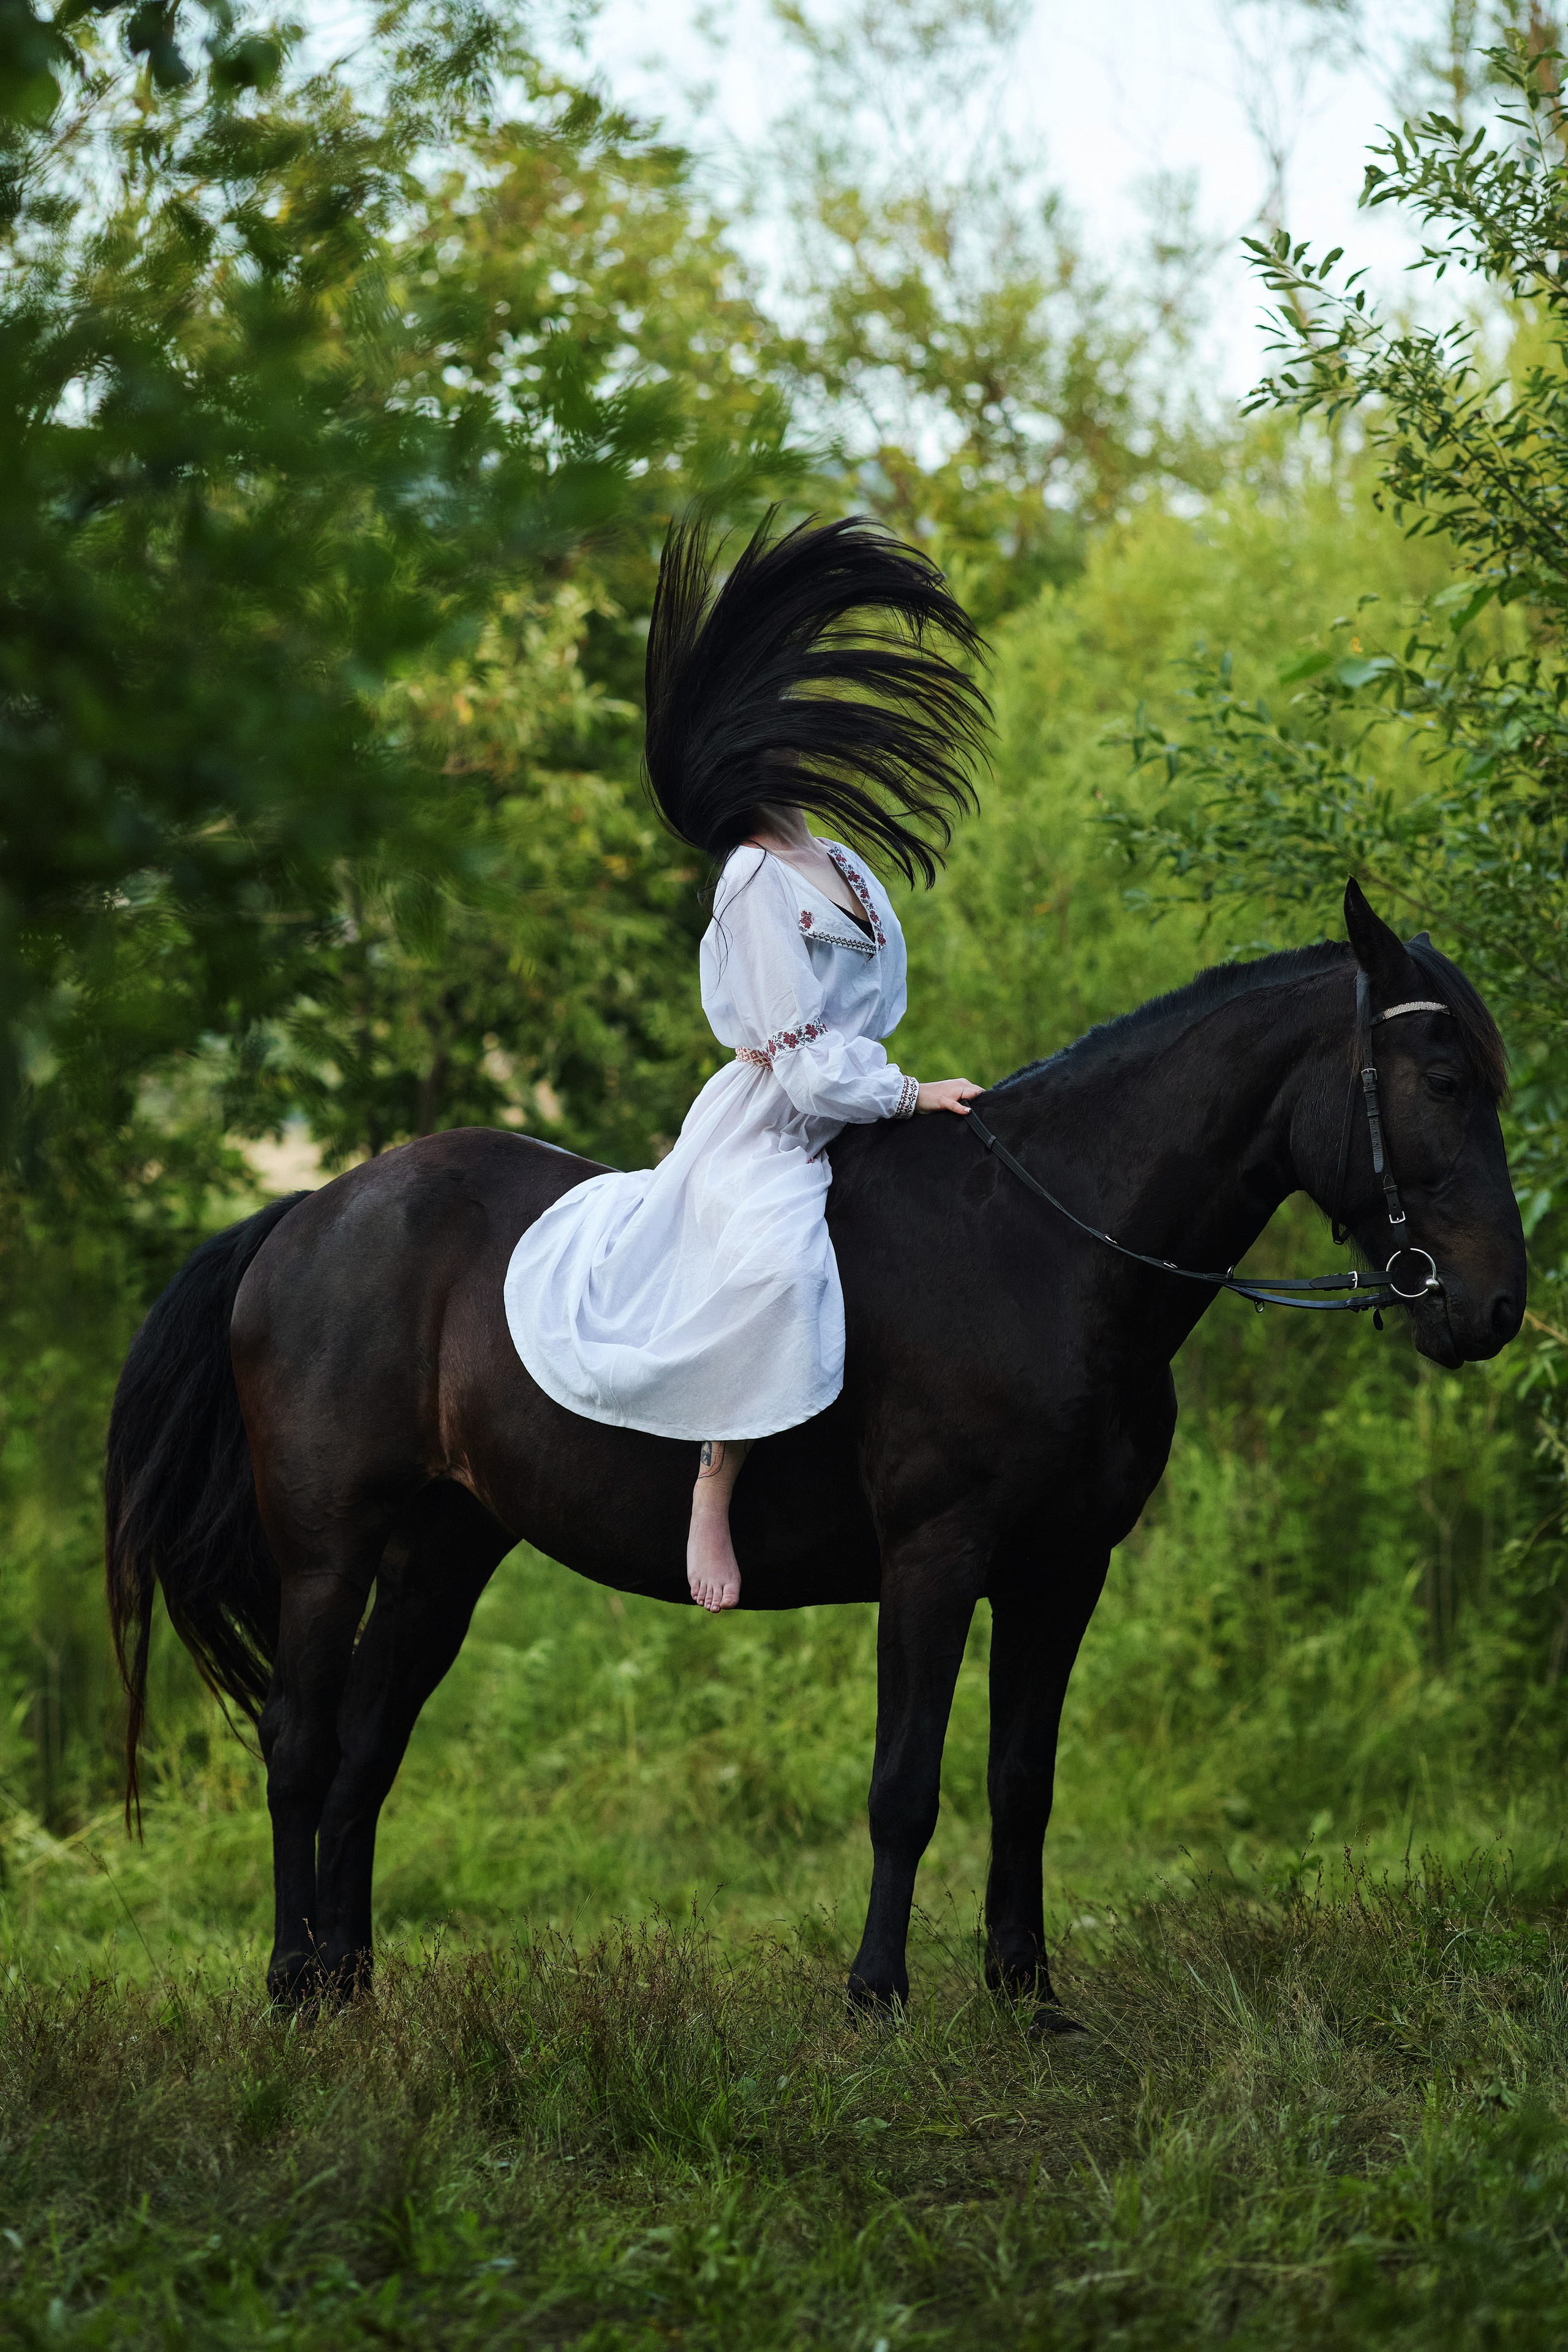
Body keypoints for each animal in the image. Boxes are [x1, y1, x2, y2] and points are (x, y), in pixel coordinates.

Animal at [105, 880, 1524, 2027]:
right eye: (1444, 1084)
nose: (1494, 1309)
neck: (1046, 1248)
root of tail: (310, 1212)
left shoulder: (1061, 1572)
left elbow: (1022, 1780)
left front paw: (1026, 1995)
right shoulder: (937, 1557)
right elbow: (906, 1785)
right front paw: (879, 1996)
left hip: (439, 1557)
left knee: (365, 1751)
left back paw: (351, 1989)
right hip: (327, 1552)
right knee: (299, 1743)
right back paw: (292, 1988)